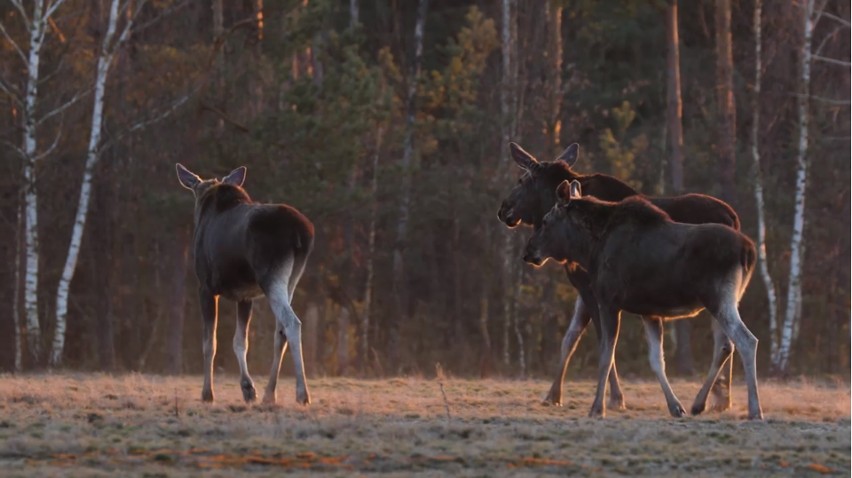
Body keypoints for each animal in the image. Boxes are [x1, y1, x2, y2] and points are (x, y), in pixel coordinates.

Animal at [177, 164, 316, 404]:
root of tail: (301, 233)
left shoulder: (205, 287)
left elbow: (210, 343)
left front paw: (207, 393)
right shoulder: (245, 295)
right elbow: (240, 341)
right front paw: (248, 388)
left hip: (270, 275)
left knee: (292, 322)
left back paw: (302, 393)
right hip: (292, 278)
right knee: (280, 330)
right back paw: (270, 393)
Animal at [496, 142, 744, 414]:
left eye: (521, 180)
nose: (503, 210)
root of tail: (734, 218)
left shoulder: (594, 288)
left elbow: (601, 341)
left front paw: (614, 397)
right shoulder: (588, 287)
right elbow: (570, 337)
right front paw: (553, 394)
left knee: (726, 339)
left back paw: (713, 397)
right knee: (728, 337)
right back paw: (722, 398)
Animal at [524, 181, 764, 420]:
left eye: (545, 221)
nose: (528, 251)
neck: (589, 249)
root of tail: (749, 251)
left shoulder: (608, 301)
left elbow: (606, 356)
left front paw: (597, 408)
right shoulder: (649, 312)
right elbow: (657, 360)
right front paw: (675, 406)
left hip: (718, 298)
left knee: (746, 340)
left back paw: (754, 409)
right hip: (726, 300)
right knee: (725, 345)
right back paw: (699, 404)